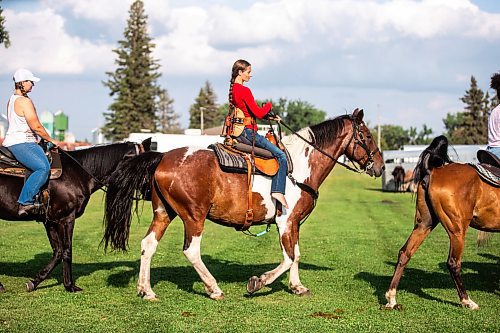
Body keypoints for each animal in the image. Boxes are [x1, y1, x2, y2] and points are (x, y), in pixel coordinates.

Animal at [0, 139, 149, 292]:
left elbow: (58, 252)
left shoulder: (50, 221)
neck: (78, 173)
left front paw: (34, 281)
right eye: (143, 164)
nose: (149, 191)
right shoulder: (66, 219)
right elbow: (67, 250)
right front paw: (69, 285)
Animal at [101, 108, 382, 298]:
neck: (301, 167)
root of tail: (162, 157)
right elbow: (288, 257)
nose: (379, 166)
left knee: (148, 245)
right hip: (194, 216)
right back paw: (213, 288)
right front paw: (258, 282)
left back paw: (146, 290)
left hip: (164, 212)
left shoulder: (294, 223)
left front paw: (297, 286)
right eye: (367, 136)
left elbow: (297, 255)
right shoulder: (285, 221)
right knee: (191, 251)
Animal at [386, 135, 500, 308]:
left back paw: (392, 298)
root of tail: (432, 171)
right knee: (453, 262)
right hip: (457, 229)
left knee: (405, 253)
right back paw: (467, 301)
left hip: (424, 224)